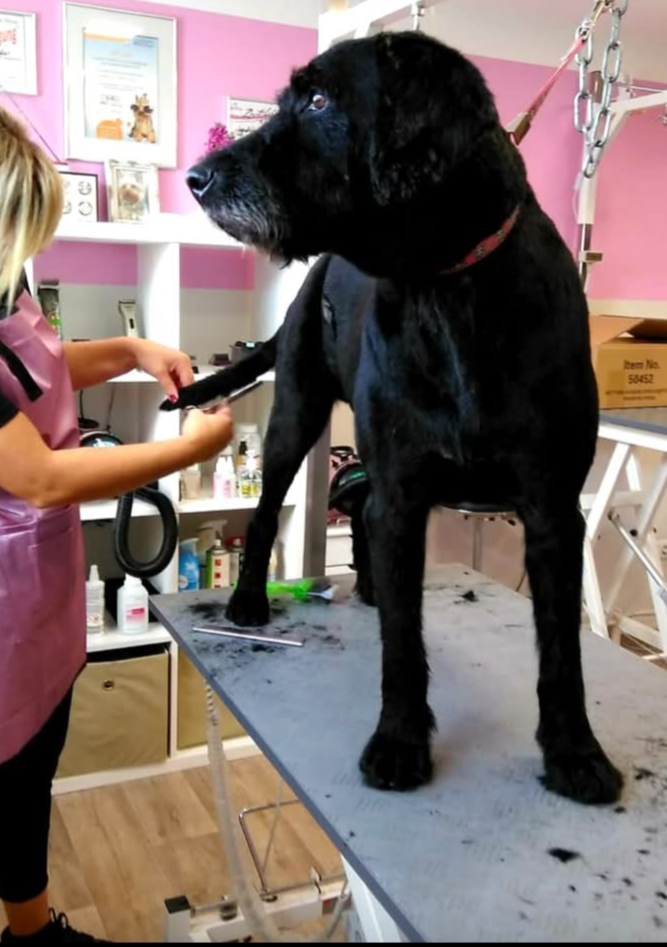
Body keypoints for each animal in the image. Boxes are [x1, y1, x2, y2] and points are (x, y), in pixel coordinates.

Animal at [165, 32, 623, 805]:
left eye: (319, 100)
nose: (197, 178)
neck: (451, 289)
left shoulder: (551, 512)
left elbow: (563, 651)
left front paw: (574, 752)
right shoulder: (407, 493)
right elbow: (405, 647)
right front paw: (401, 741)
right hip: (294, 416)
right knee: (265, 514)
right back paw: (252, 599)